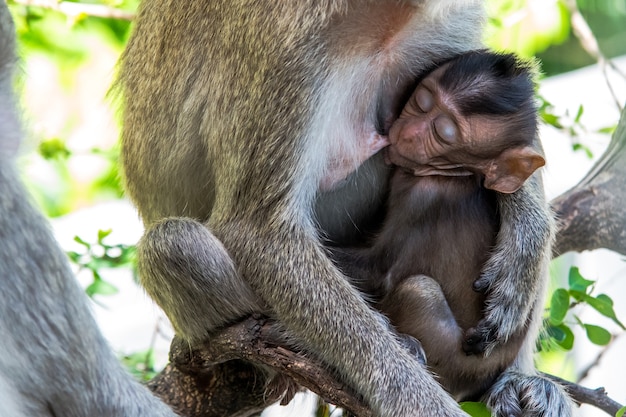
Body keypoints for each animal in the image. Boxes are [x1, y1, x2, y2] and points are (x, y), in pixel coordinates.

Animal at [332, 50, 540, 398]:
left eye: (443, 133)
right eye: (423, 101)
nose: (408, 133)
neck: (457, 174)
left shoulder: (423, 197)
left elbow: (382, 271)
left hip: (452, 360)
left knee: (419, 289)